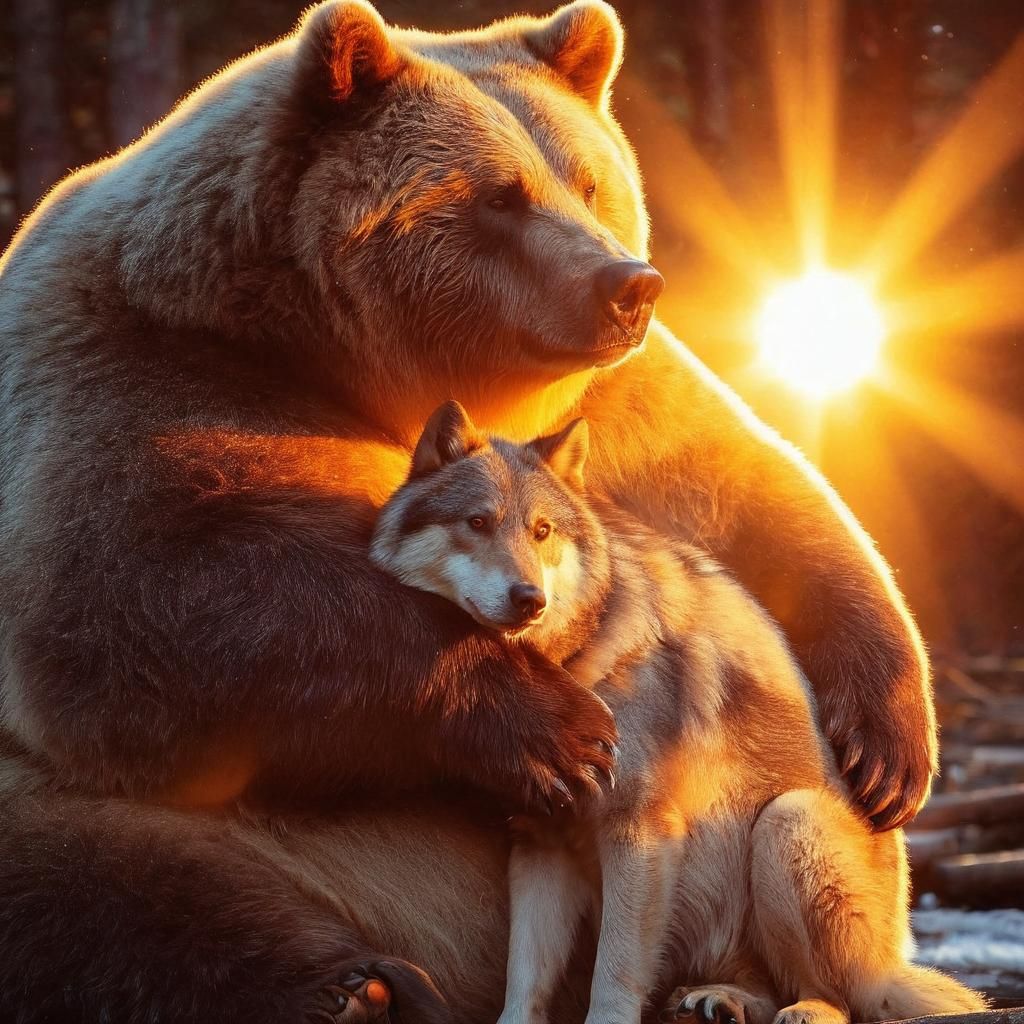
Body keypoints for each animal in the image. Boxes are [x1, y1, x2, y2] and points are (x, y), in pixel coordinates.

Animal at [0, 1, 936, 1021]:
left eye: (590, 180)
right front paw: (558, 729)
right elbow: (150, 603)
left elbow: (752, 494)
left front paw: (883, 748)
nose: (630, 284)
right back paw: (351, 983)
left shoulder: (610, 404)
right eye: (500, 195)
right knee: (100, 876)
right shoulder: (145, 372)